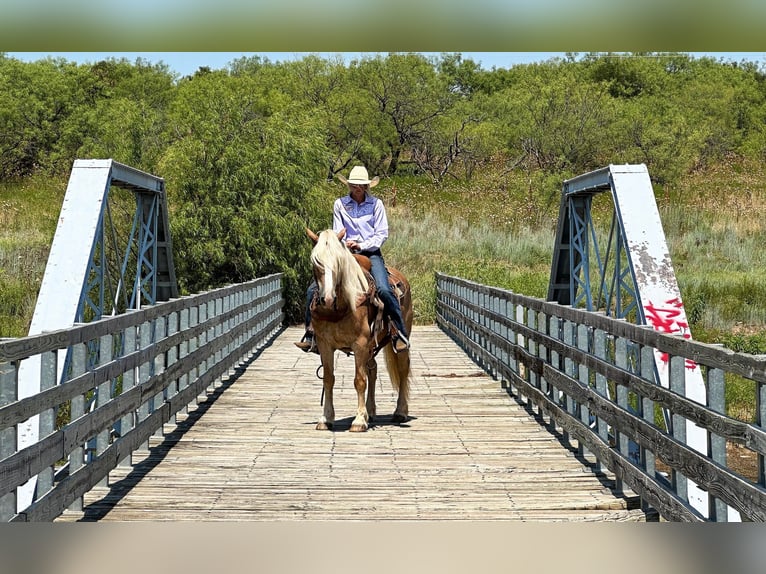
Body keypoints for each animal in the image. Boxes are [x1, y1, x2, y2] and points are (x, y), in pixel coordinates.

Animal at [306, 228, 414, 432]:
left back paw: (400, 412)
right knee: (373, 369)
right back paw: (370, 412)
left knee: (403, 370)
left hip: (399, 339)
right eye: (316, 262)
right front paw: (326, 418)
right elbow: (328, 379)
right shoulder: (325, 345)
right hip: (370, 348)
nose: (327, 299)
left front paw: (358, 421)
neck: (341, 308)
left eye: (339, 262)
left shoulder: (360, 344)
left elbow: (359, 380)